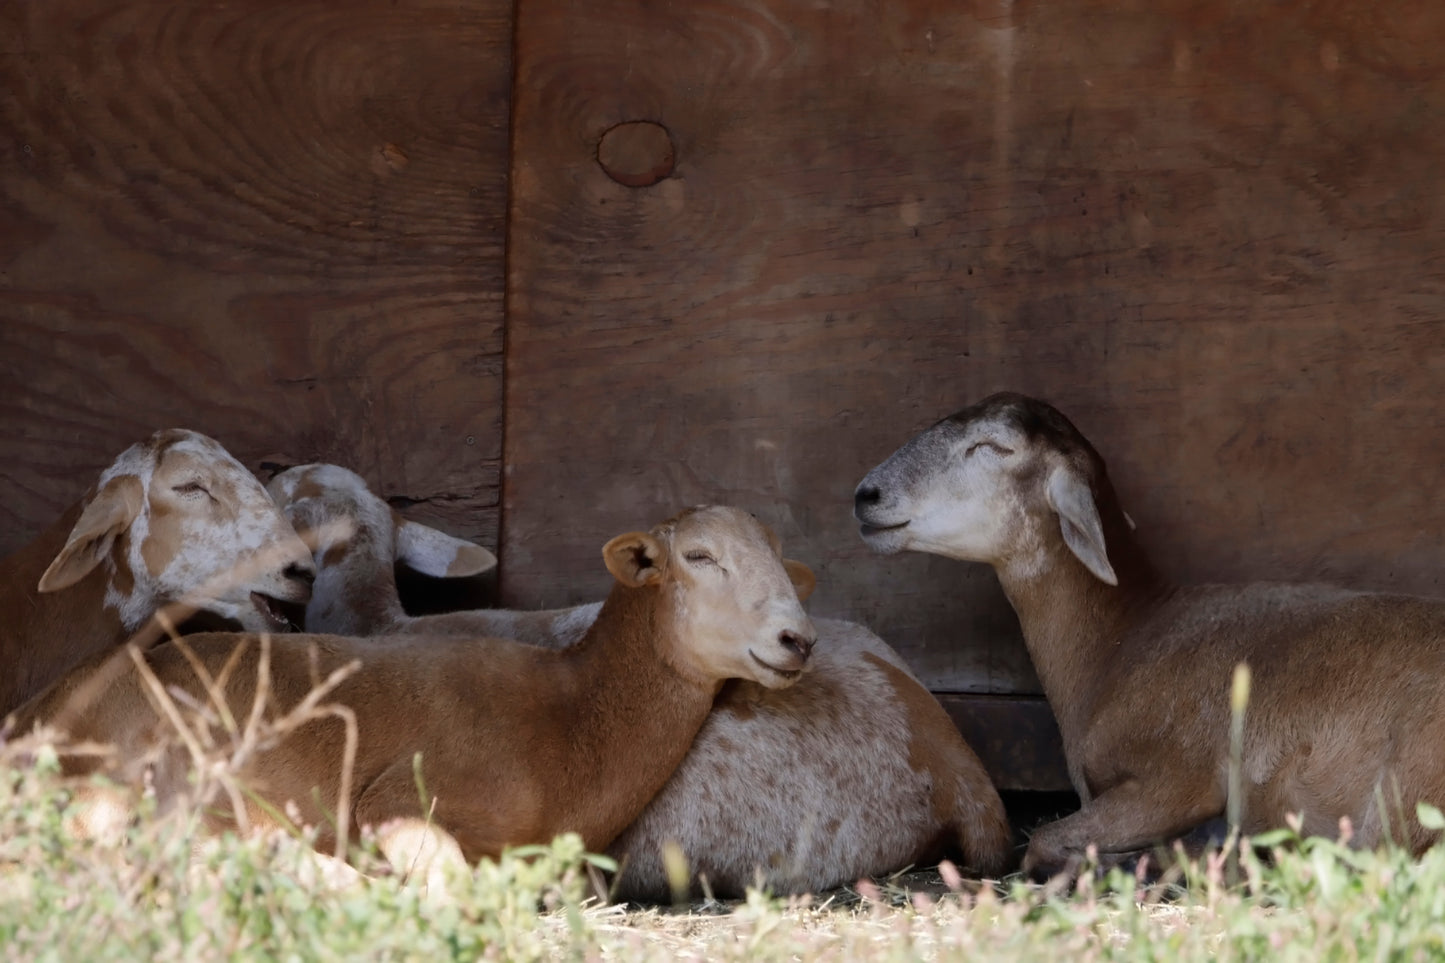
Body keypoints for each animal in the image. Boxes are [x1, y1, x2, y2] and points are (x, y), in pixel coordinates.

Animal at [849, 390, 1445, 879]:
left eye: (995, 446)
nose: (866, 495)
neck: (1124, 638)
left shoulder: (1177, 777)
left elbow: (1042, 840)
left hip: (1406, 785)